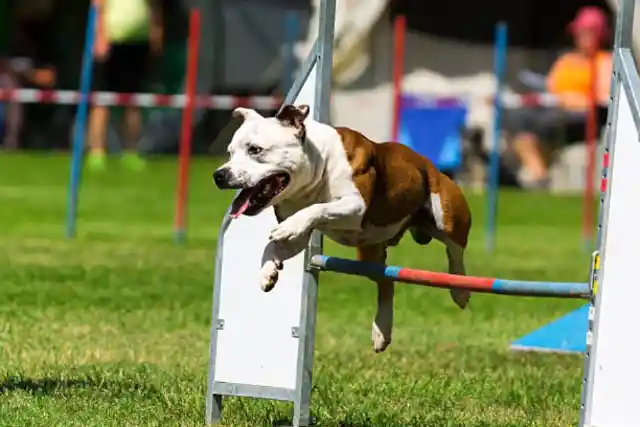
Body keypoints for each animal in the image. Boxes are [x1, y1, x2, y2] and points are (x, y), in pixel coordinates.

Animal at [214, 105, 470, 352]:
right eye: (230, 152)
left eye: (255, 150)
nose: (219, 174)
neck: (317, 166)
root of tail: (429, 164)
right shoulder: (299, 237)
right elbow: (273, 245)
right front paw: (267, 271)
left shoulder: (355, 206)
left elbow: (318, 208)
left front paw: (291, 226)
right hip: (369, 254)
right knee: (386, 281)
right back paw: (381, 331)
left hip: (447, 216)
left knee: (455, 251)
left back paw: (460, 291)